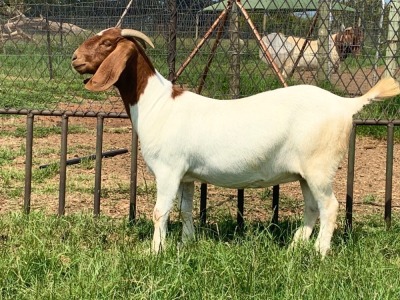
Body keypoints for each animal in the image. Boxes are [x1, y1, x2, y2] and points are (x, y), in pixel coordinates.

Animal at [72, 28, 400, 256]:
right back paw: (296, 247)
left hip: (320, 165)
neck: (156, 104)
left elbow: (159, 212)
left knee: (329, 206)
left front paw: (154, 251)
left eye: (106, 43)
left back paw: (319, 252)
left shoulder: (168, 170)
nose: (75, 58)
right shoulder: (186, 174)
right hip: (305, 172)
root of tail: (345, 104)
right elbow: (187, 209)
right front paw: (187, 242)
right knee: (312, 207)